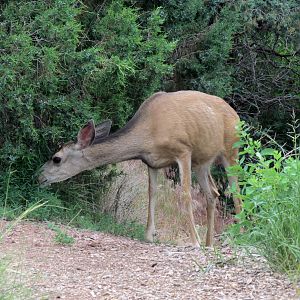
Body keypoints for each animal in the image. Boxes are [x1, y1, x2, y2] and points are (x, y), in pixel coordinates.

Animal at [39, 91, 241, 246]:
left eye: (56, 158)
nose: (39, 176)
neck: (148, 133)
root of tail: (236, 114)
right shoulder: (152, 162)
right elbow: (152, 193)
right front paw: (149, 235)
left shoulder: (183, 151)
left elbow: (185, 195)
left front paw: (194, 241)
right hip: (202, 162)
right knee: (213, 192)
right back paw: (209, 244)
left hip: (231, 152)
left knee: (237, 194)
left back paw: (236, 238)